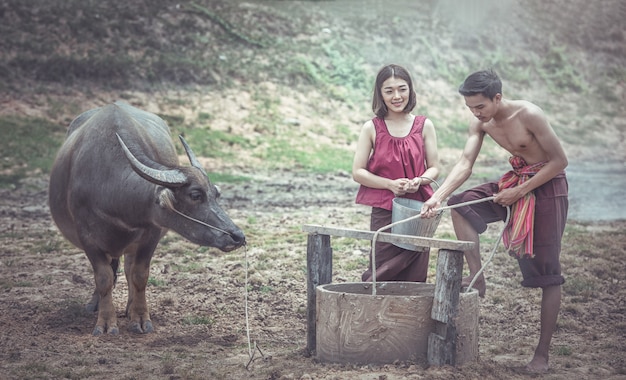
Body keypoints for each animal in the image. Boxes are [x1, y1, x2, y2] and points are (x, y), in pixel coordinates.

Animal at [49, 101, 244, 336]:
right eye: (196, 195)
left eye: (216, 193)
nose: (237, 236)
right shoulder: (87, 238)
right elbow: (103, 278)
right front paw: (105, 323)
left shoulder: (151, 235)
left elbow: (139, 275)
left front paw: (140, 318)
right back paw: (95, 304)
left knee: (127, 268)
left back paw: (129, 306)